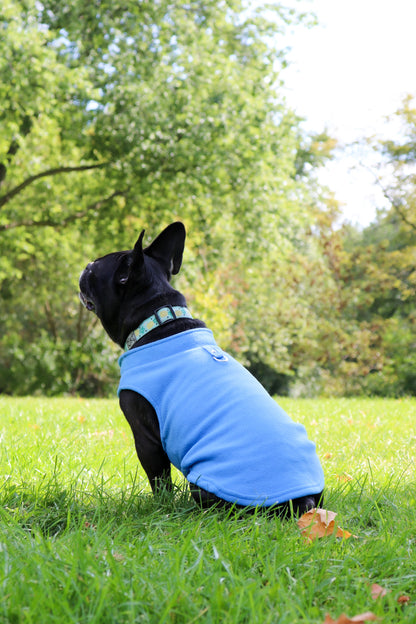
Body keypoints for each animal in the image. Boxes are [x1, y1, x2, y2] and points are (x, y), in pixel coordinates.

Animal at [79, 222, 324, 516]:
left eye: (93, 270)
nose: (84, 266)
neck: (158, 319)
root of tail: (303, 502)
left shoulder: (145, 437)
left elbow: (159, 478)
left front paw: (160, 506)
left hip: (204, 482)